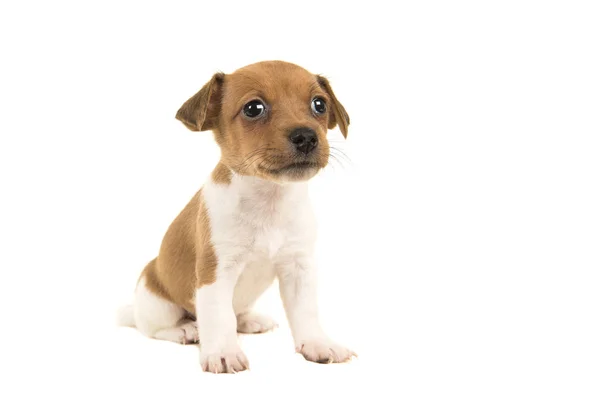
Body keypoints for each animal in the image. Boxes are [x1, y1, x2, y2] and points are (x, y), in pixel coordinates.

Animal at [116, 60, 356, 376]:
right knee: (154, 328)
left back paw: (249, 320)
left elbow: (305, 313)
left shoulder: (298, 269)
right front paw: (223, 352)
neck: (268, 201)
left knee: (236, 313)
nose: (306, 136)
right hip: (158, 303)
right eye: (254, 108)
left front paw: (317, 344)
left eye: (319, 104)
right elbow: (219, 317)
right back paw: (184, 330)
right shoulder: (216, 273)